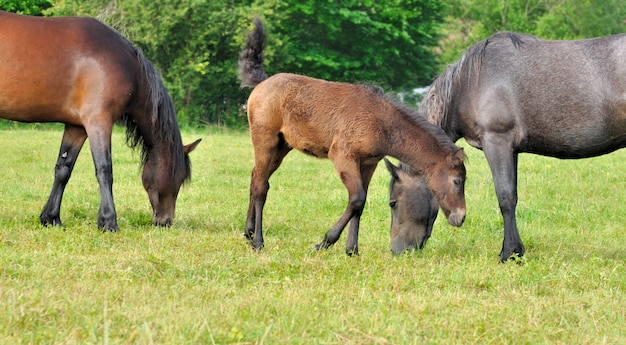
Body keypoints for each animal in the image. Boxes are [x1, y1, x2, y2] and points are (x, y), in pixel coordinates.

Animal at [0, 11, 200, 231]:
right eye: (179, 178)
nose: (165, 222)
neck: (128, 66)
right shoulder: (99, 121)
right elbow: (105, 169)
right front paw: (108, 221)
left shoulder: (77, 127)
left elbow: (63, 169)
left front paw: (51, 217)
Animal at [238, 18, 464, 255]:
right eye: (457, 181)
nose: (460, 217)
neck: (382, 123)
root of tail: (262, 83)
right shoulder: (342, 156)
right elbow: (357, 199)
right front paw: (325, 243)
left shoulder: (368, 163)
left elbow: (360, 204)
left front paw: (352, 250)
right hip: (265, 139)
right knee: (261, 186)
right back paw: (258, 241)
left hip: (282, 146)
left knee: (256, 177)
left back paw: (248, 232)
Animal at [400, 32, 624, 260]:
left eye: (393, 201)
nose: (400, 250)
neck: (469, 83)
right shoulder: (511, 150)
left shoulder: (497, 142)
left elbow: (506, 197)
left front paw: (509, 252)